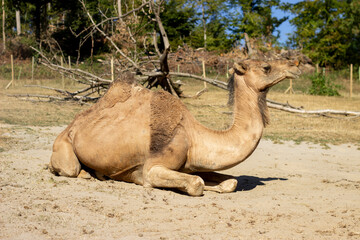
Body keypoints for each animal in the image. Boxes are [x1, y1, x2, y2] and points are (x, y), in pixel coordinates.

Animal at [48, 59, 300, 196]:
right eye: (266, 67)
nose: (295, 64)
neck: (194, 136)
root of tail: (69, 126)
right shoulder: (153, 168)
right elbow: (196, 184)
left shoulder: (193, 164)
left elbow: (230, 182)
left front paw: (218, 185)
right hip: (63, 147)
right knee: (68, 169)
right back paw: (86, 174)